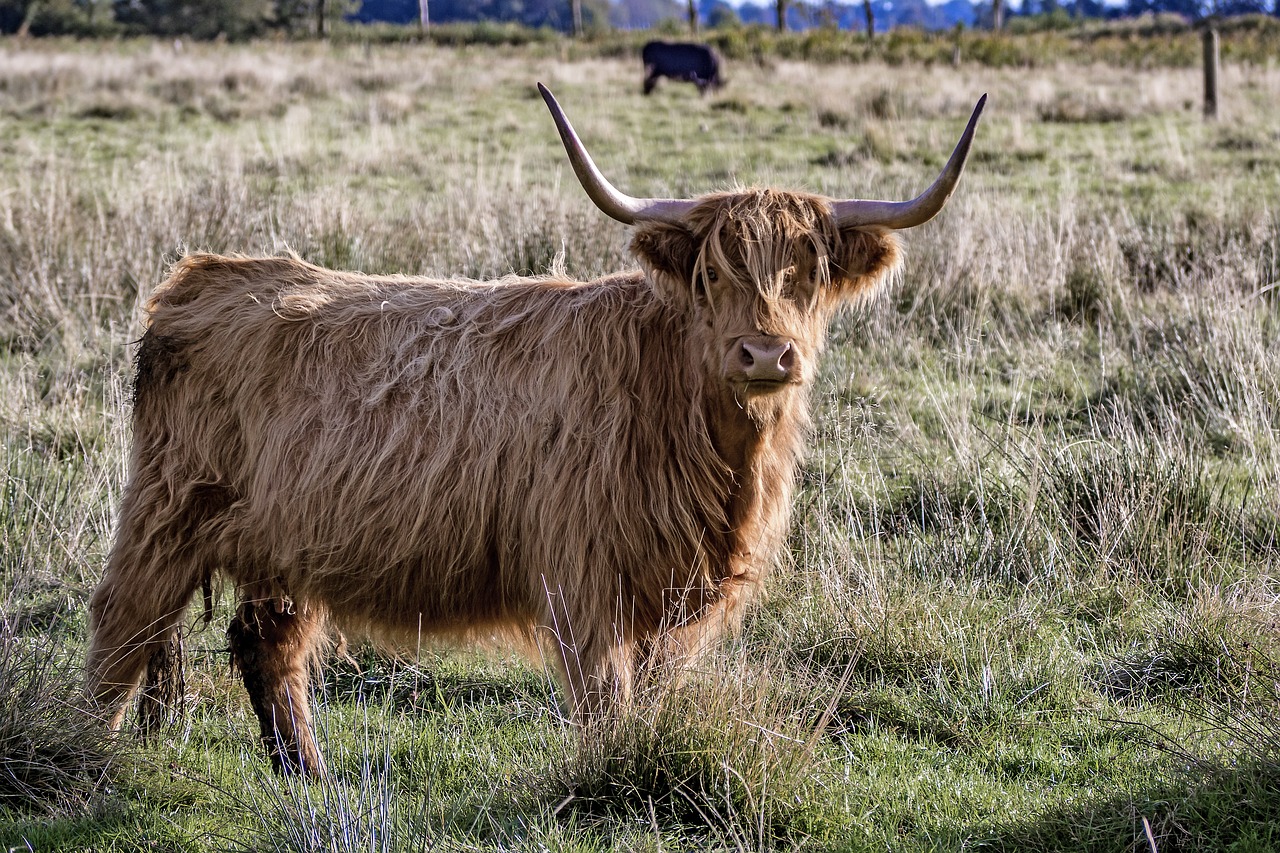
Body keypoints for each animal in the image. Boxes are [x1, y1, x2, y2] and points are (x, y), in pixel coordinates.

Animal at [87, 84, 988, 768]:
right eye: (713, 275)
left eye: (807, 274)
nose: (765, 353)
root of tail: (200, 276)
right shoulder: (584, 576)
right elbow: (605, 699)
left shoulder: (671, 598)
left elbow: (648, 695)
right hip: (166, 509)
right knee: (124, 625)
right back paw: (87, 755)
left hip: (285, 537)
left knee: (266, 644)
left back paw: (309, 777)